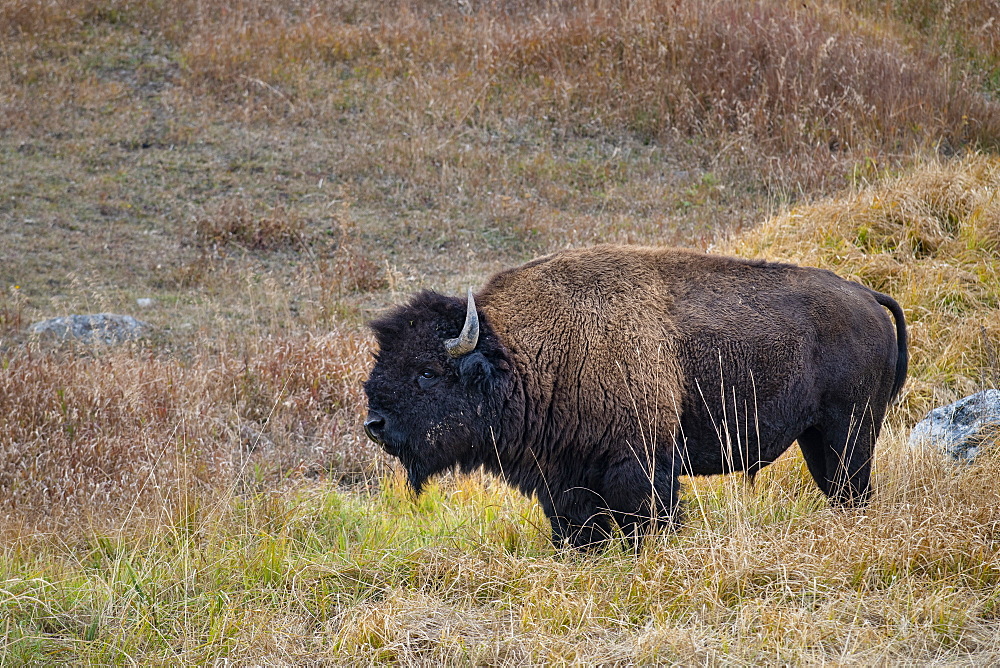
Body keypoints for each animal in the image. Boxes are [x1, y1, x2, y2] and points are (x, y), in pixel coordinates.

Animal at [364, 245, 912, 548]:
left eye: (428, 373)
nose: (375, 425)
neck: (521, 354)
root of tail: (865, 296)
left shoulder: (639, 464)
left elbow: (647, 518)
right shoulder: (562, 478)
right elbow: (576, 528)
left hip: (849, 431)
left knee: (853, 486)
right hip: (817, 437)